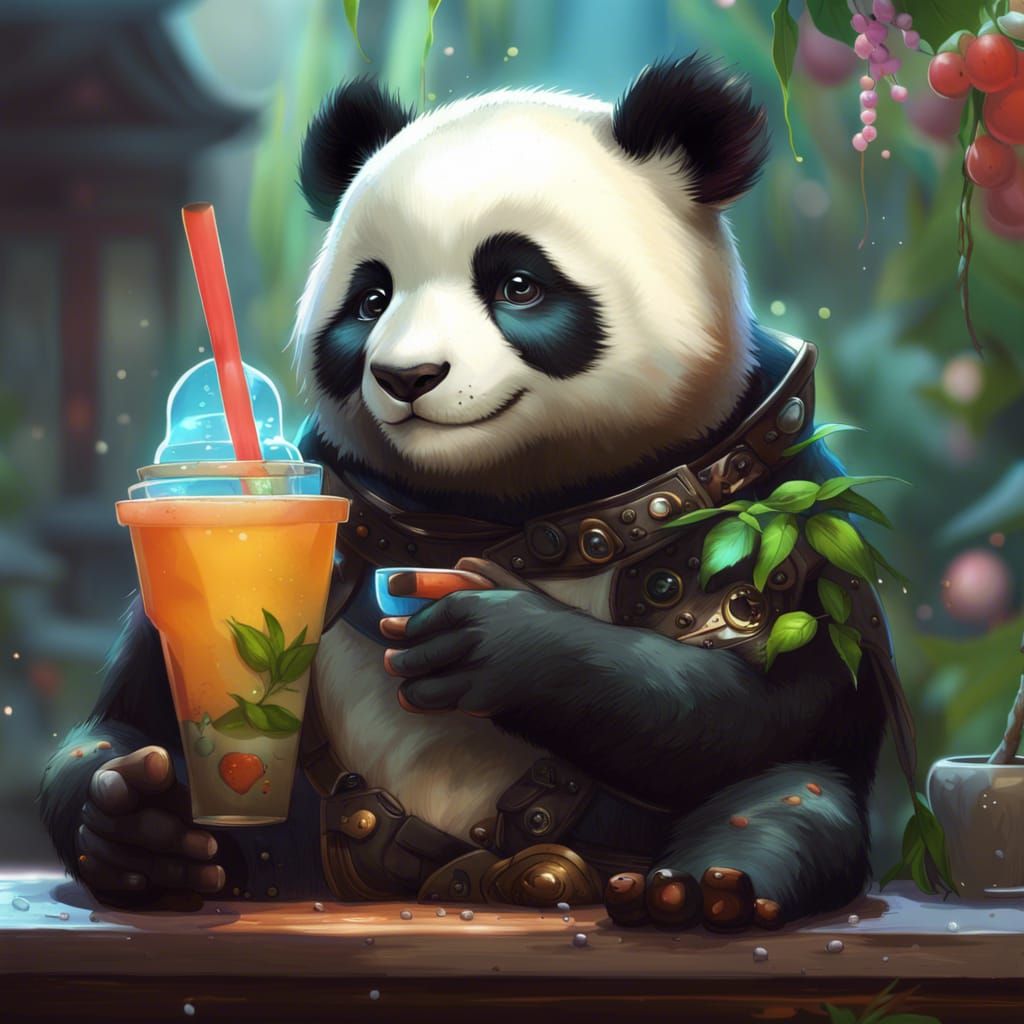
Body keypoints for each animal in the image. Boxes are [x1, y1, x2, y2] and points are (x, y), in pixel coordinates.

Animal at [40, 55, 914, 930]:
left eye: (519, 285)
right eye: (372, 299)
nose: (407, 376)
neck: (509, 502)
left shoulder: (780, 494)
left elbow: (776, 705)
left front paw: (499, 644)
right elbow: (127, 714)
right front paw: (138, 824)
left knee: (792, 793)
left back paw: (702, 888)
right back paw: (157, 848)